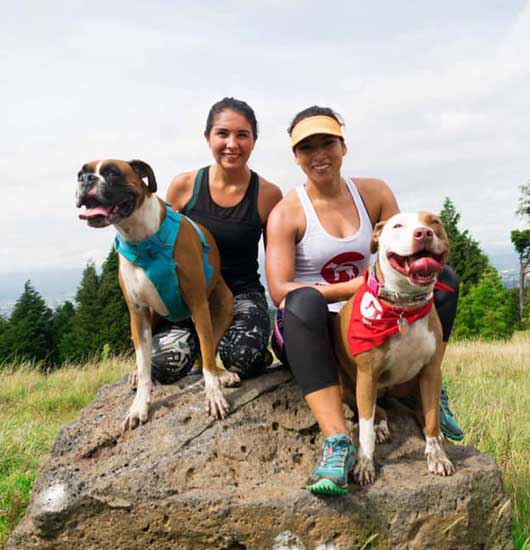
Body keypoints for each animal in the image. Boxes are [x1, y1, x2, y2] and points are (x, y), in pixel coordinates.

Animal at [76, 157, 237, 434]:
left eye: (112, 172)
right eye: (80, 173)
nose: (86, 180)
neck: (142, 239)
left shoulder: (198, 305)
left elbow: (207, 356)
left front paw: (214, 395)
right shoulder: (138, 314)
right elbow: (144, 370)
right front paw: (139, 406)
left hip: (224, 306)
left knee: (209, 348)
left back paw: (222, 373)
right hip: (152, 317)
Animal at [334, 213, 454, 486]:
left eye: (434, 222)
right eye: (397, 225)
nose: (423, 233)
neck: (403, 308)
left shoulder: (431, 371)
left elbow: (432, 418)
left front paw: (437, 456)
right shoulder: (367, 376)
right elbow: (365, 429)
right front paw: (365, 463)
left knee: (420, 410)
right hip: (350, 386)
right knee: (376, 411)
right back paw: (380, 426)